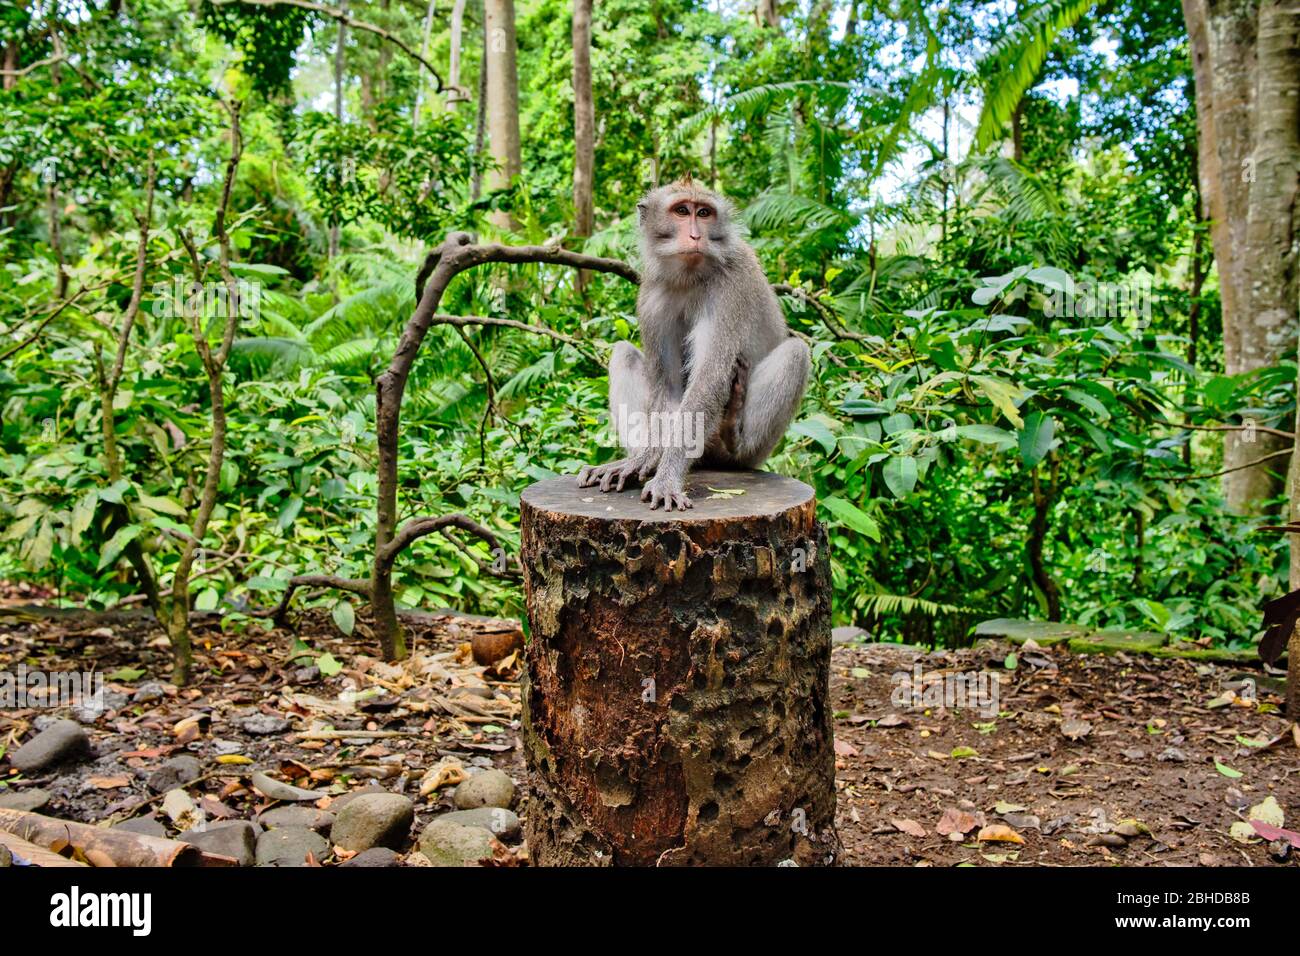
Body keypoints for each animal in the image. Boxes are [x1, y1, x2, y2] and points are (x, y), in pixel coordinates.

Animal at [582, 178, 811, 509]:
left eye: (703, 213)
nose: (695, 235)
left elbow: (710, 378)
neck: (690, 276)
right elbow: (668, 385)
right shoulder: (652, 296)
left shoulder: (731, 286)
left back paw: (733, 440)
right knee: (623, 352)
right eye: (681, 211)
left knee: (796, 352)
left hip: (747, 450)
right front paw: (646, 458)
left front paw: (666, 477)